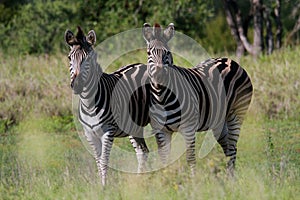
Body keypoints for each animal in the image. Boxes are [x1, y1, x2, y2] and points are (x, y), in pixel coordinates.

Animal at [65, 27, 150, 186]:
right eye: (69, 58)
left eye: (89, 58)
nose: (77, 85)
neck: (89, 104)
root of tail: (142, 65)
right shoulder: (89, 134)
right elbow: (98, 161)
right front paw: (101, 186)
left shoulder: (107, 131)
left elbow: (104, 160)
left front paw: (105, 187)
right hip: (134, 126)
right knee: (143, 151)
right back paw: (139, 181)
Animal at [143, 22, 253, 175]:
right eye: (149, 53)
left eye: (168, 53)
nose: (159, 75)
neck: (162, 97)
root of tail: (229, 60)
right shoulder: (161, 130)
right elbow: (164, 159)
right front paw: (165, 178)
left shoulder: (188, 128)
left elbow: (190, 158)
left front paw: (193, 180)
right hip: (219, 121)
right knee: (228, 148)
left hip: (237, 113)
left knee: (232, 148)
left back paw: (231, 177)